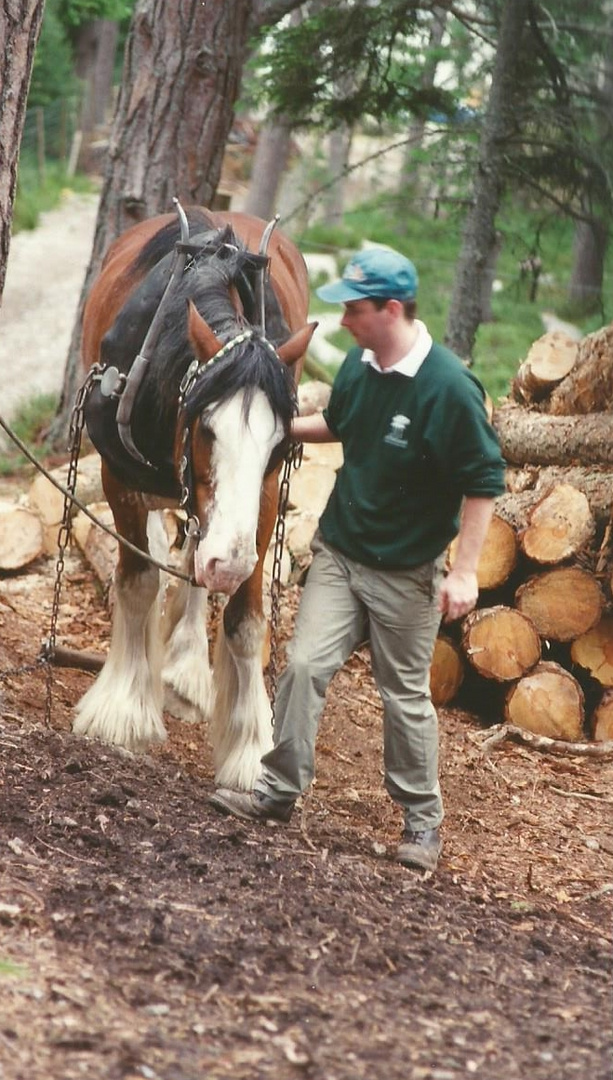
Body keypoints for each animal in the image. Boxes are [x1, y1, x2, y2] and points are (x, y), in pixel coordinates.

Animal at [72, 206, 315, 790]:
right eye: (206, 428)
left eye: (278, 443)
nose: (229, 563)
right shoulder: (118, 481)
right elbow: (138, 582)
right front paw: (122, 712)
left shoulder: (262, 499)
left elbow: (246, 619)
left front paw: (250, 751)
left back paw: (185, 668)